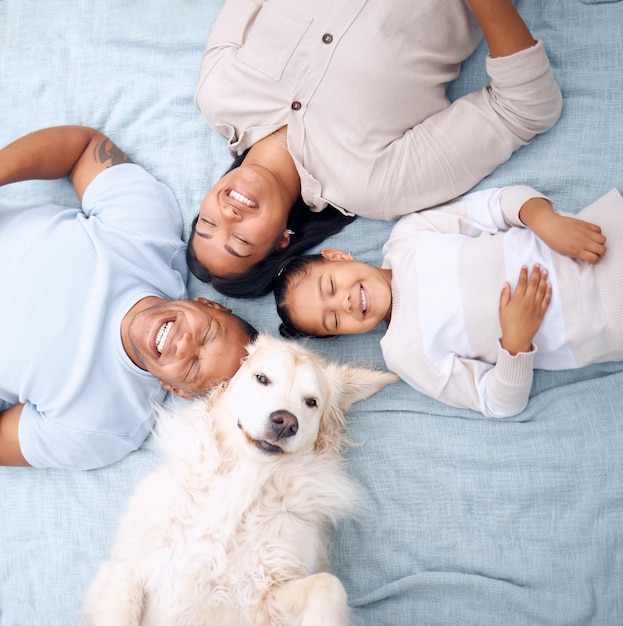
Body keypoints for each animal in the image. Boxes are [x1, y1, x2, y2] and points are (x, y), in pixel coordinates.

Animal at [81, 334, 394, 620]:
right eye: (262, 378)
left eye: (311, 402)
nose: (286, 423)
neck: (245, 474)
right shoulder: (126, 569)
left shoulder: (266, 588)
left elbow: (330, 586)